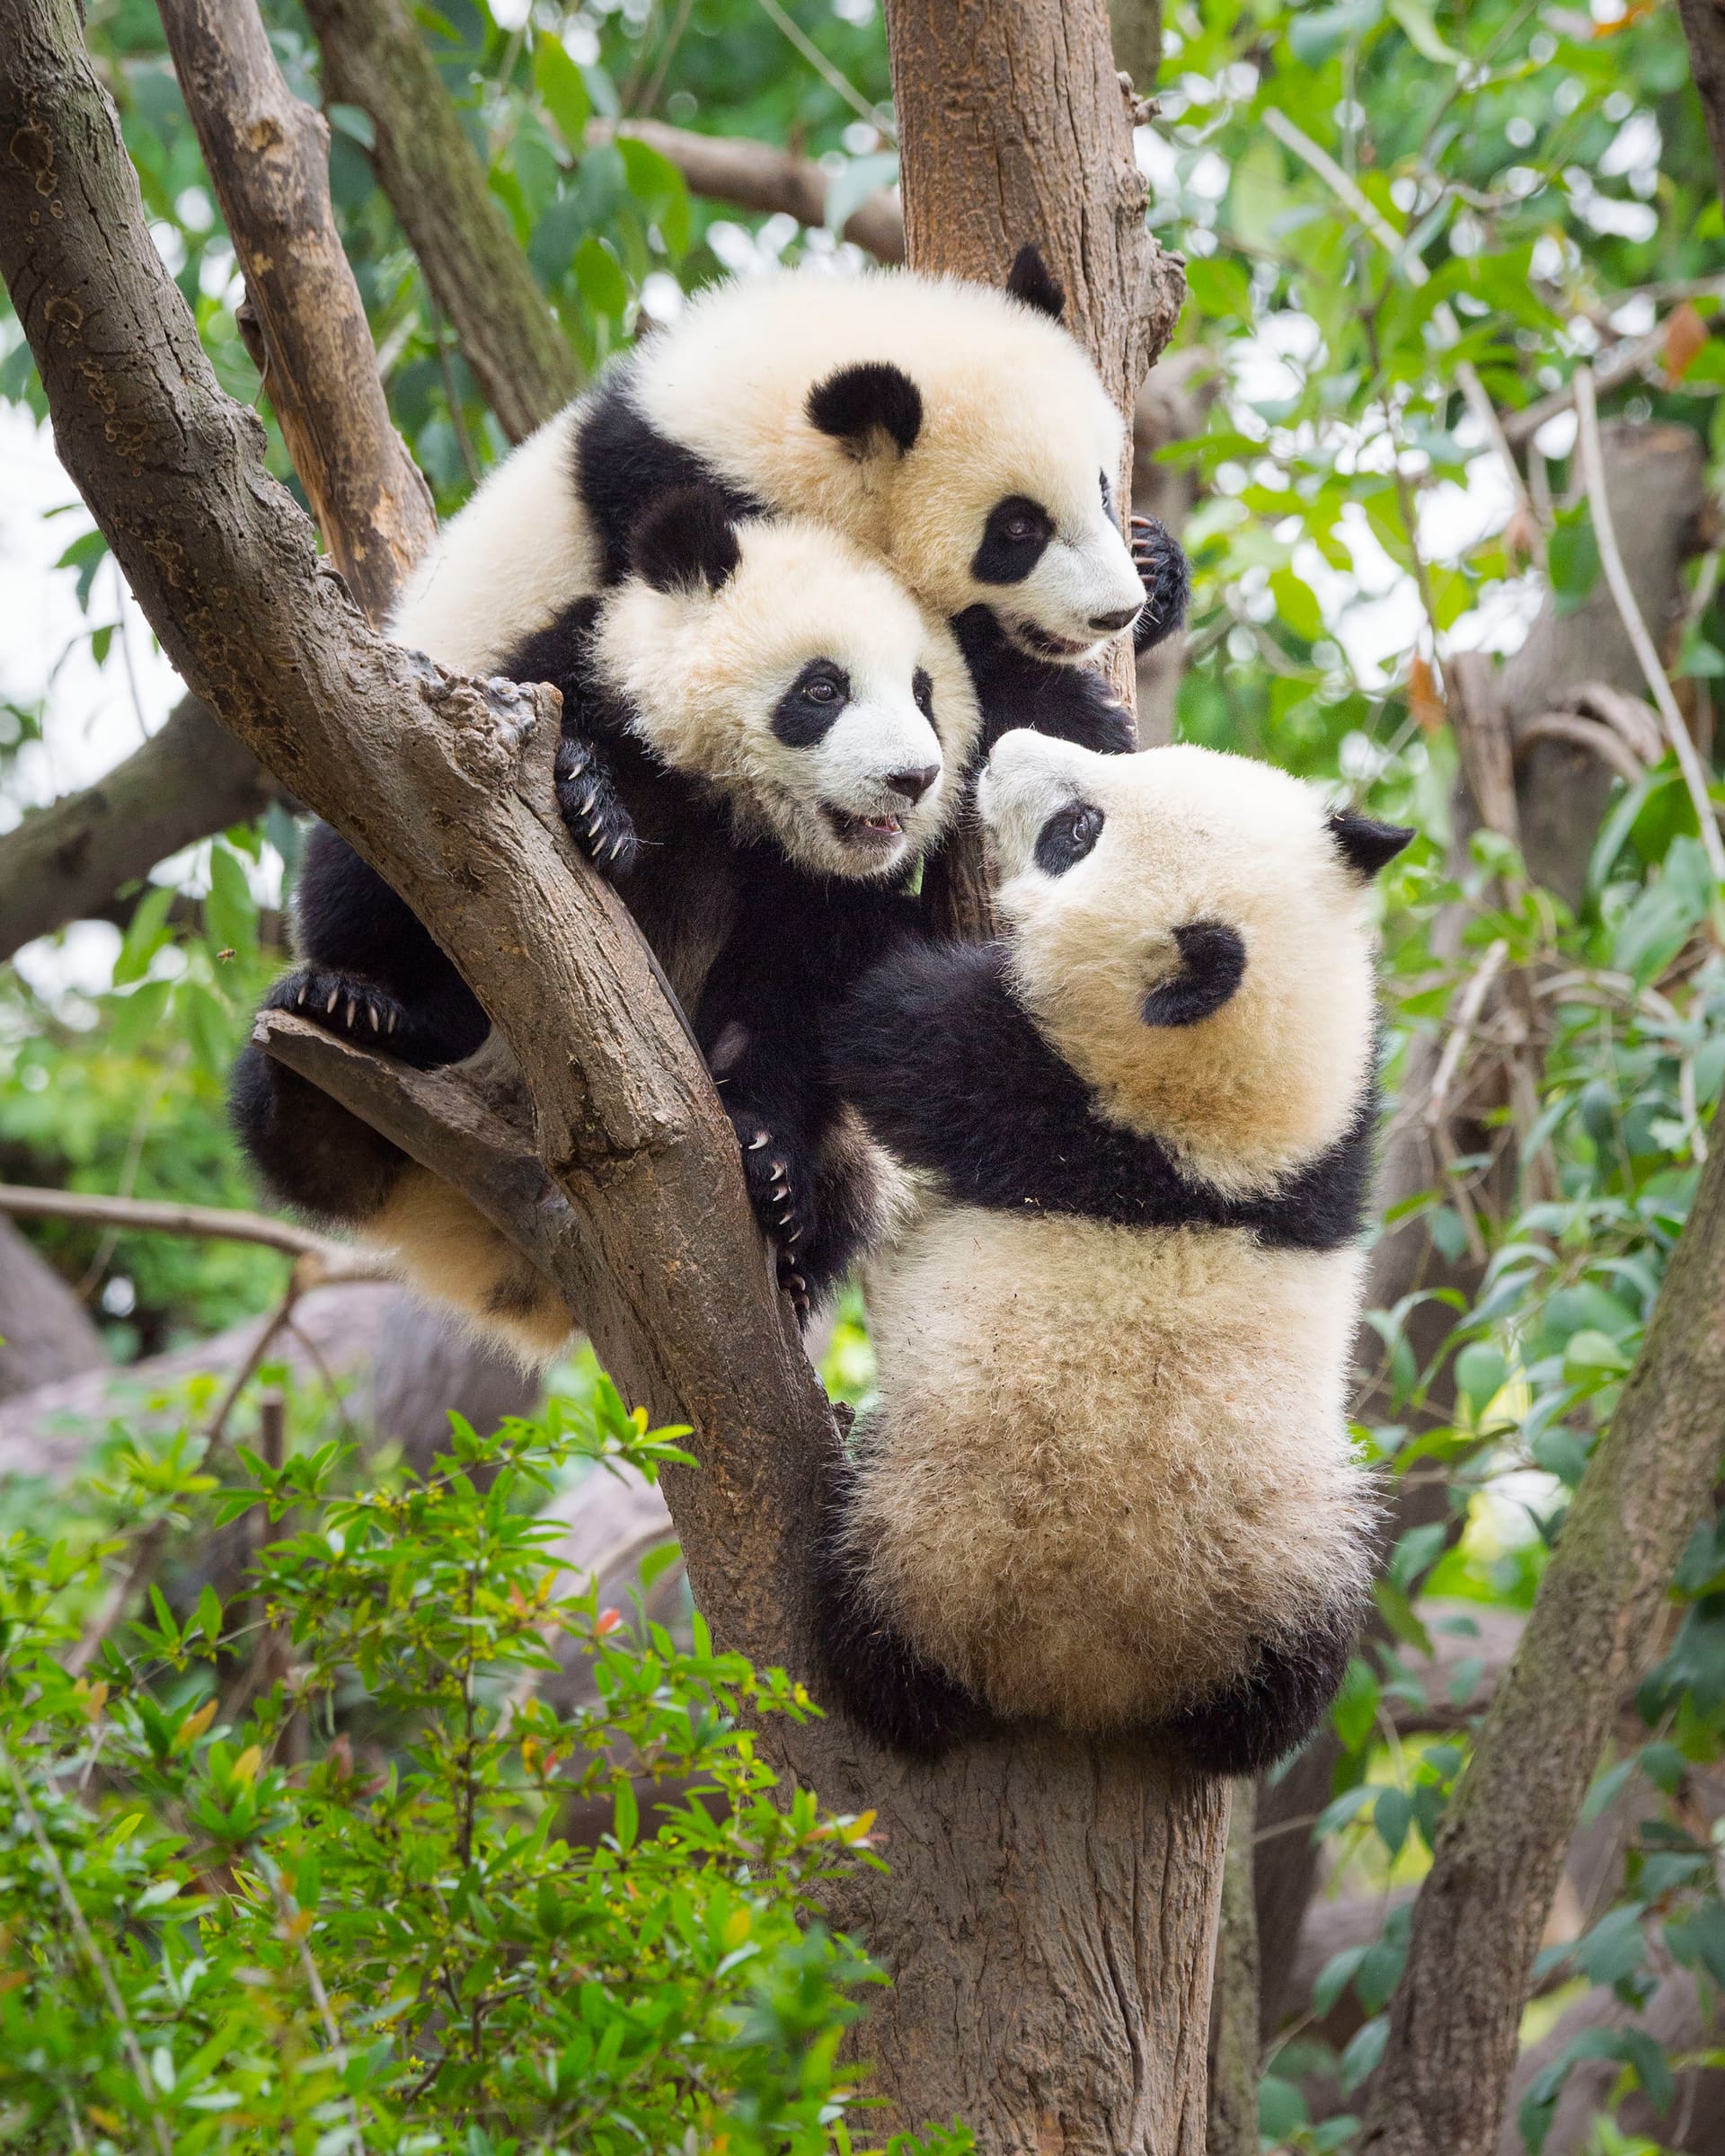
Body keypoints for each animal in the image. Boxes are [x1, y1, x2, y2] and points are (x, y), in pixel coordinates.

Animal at [230, 496, 978, 1354]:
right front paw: (590, 797)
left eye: (924, 694)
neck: (729, 804)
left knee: (856, 1177)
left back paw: (795, 1252)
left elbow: (804, 1001)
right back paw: (342, 1037)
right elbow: (389, 830)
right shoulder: (569, 678)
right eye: (823, 688)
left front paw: (768, 1162)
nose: (912, 779)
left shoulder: (828, 892)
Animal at [394, 249, 1190, 767]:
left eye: (1103, 490)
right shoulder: (680, 503)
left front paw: (1158, 569)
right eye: (1018, 528)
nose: (1114, 612)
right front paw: (1077, 714)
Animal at [815, 733, 1405, 1776]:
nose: (1006, 749)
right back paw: (1235, 1731)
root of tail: (1089, 1677)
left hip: (916, 1528)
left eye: (1074, 834)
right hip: (1305, 1568)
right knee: (1292, 1682)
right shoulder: (1334, 1151)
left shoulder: (1040, 1101)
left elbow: (881, 1017)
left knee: (873, 1623)